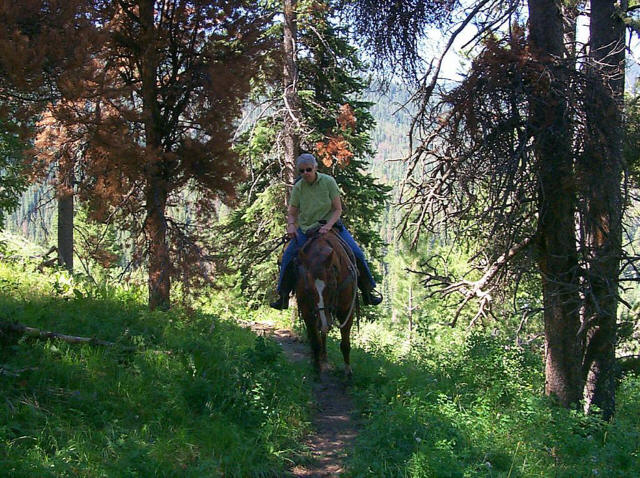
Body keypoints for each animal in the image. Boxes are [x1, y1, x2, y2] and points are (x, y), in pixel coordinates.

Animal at [295, 229, 358, 376]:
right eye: (308, 289)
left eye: (332, 285)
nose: (324, 323)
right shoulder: (307, 311)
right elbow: (315, 342)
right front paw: (316, 369)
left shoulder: (347, 310)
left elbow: (345, 343)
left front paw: (348, 371)